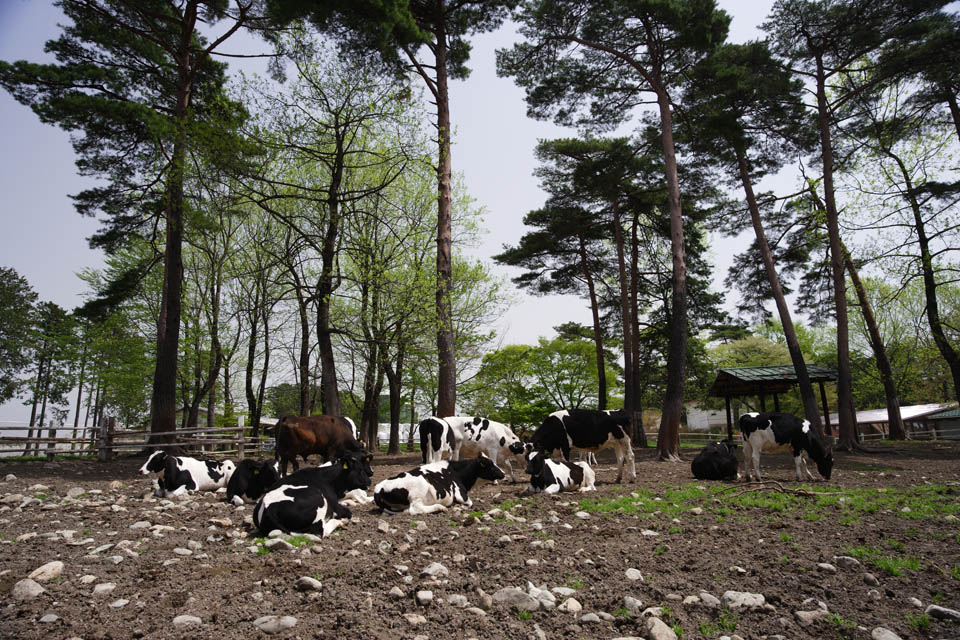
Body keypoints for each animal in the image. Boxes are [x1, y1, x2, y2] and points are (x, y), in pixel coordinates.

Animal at [376, 450, 510, 516]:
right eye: (490, 465)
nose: (504, 473)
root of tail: (379, 487)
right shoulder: (461, 494)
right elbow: (470, 503)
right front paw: (459, 506)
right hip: (419, 489)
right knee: (415, 509)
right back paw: (440, 507)